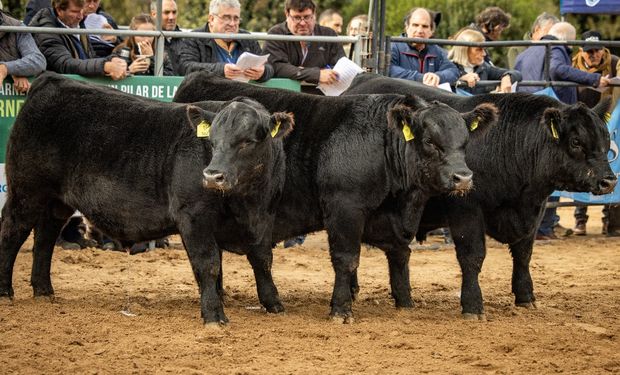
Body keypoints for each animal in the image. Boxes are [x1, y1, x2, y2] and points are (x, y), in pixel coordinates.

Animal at [0, 72, 294, 324]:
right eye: (211, 140)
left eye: (247, 141)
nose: (212, 176)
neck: (246, 201)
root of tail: (51, 80)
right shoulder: (193, 216)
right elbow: (208, 264)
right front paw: (214, 315)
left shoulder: (264, 216)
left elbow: (262, 259)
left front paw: (274, 304)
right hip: (26, 191)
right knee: (12, 231)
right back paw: (6, 291)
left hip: (57, 201)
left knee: (45, 237)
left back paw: (44, 290)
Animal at [176, 72, 498, 320]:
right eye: (430, 141)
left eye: (464, 142)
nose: (462, 177)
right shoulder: (345, 208)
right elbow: (346, 259)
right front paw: (341, 310)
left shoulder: (393, 218)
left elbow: (400, 254)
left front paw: (405, 302)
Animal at [346, 73, 616, 320]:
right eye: (576, 141)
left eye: (606, 139)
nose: (609, 181)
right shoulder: (466, 210)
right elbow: (472, 257)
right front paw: (473, 306)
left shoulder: (534, 210)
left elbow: (523, 254)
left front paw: (526, 297)